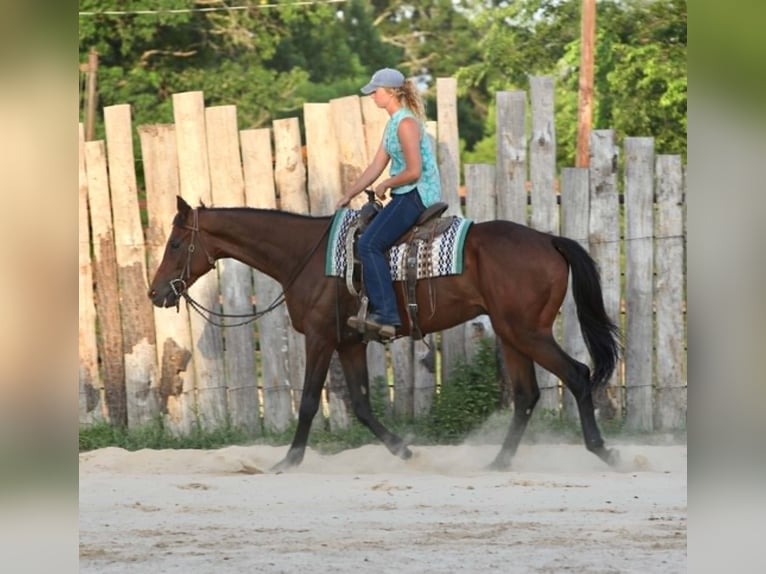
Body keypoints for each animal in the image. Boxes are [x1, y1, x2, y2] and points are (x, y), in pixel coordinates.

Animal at [148, 195, 622, 472]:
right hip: (513, 335)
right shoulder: (349, 342)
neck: (306, 255)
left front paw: (289, 460)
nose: (155, 292)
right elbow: (361, 404)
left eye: (176, 244)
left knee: (577, 375)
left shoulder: (320, 338)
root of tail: (547, 239)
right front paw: (405, 450)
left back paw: (603, 451)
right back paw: (499, 462)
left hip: (528, 332)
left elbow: (308, 402)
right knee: (526, 396)